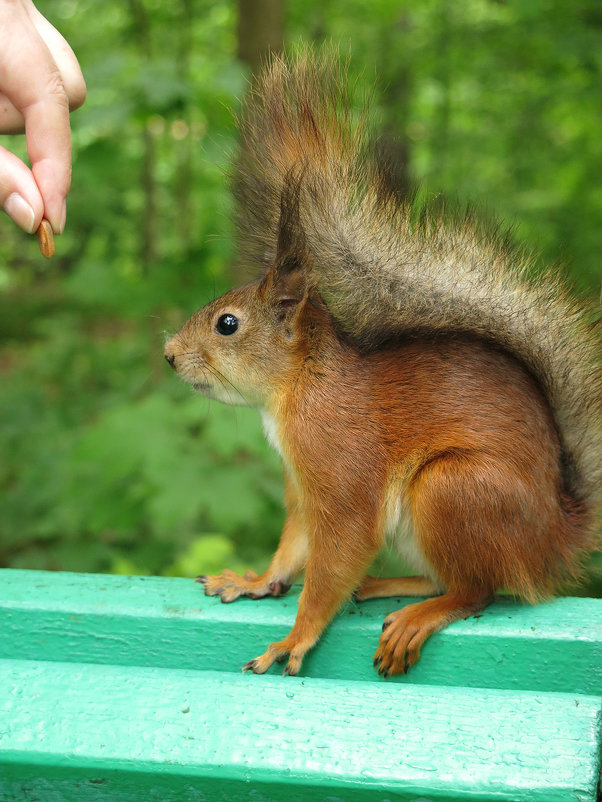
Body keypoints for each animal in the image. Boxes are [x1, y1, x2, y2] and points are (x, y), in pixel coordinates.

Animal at [163, 50, 600, 676]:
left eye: (227, 324)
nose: (169, 355)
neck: (297, 388)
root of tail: (554, 540)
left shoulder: (339, 463)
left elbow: (336, 553)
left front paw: (295, 638)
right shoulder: (302, 484)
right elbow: (295, 546)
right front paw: (254, 580)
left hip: (453, 489)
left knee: (477, 592)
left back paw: (419, 614)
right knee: (452, 580)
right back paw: (389, 587)